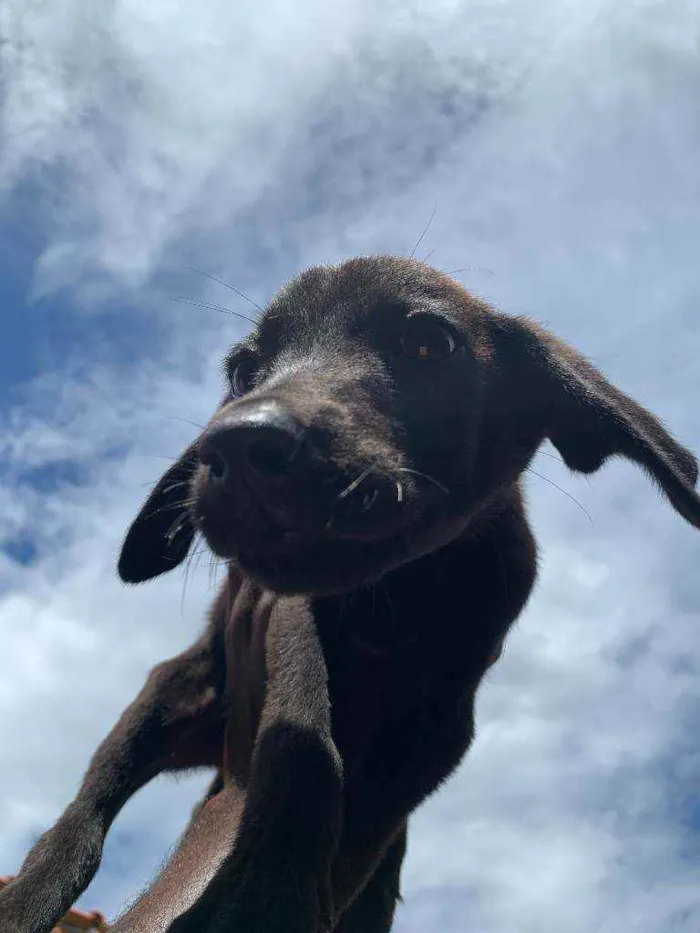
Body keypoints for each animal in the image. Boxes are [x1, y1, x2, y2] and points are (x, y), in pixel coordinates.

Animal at [1, 256, 700, 932]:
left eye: (429, 343)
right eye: (243, 368)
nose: (235, 444)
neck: (397, 599)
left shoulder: (437, 728)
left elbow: (360, 829)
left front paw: (272, 899)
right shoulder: (284, 618)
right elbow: (306, 731)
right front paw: (270, 891)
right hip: (175, 689)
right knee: (85, 814)